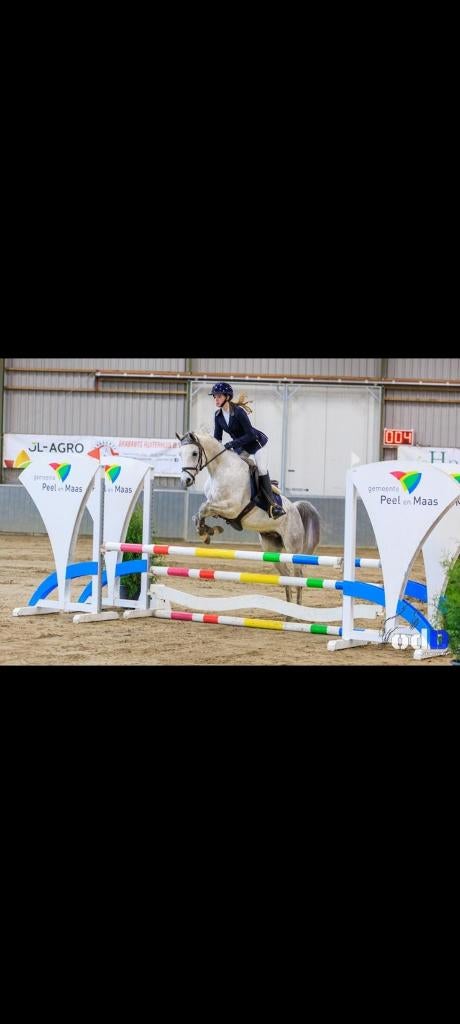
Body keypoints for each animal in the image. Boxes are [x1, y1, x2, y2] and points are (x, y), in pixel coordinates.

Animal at [176, 431, 320, 606]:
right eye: (179, 454)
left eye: (194, 453)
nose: (185, 480)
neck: (221, 469)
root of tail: (295, 509)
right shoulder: (218, 507)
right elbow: (199, 513)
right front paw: (206, 531)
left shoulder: (232, 508)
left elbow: (204, 508)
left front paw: (207, 532)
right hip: (271, 548)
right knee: (286, 575)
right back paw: (289, 609)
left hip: (293, 546)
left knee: (298, 576)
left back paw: (297, 608)